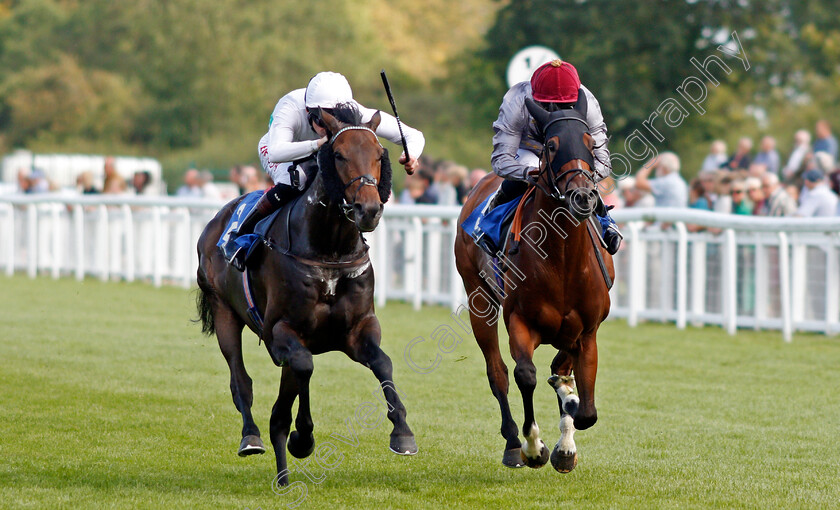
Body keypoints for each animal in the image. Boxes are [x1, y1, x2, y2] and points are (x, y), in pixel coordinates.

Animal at [198, 104, 420, 486]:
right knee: (241, 381)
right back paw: (253, 438)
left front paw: (402, 433)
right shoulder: (280, 332)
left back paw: (282, 472)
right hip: (224, 310)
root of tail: (217, 220)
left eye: (379, 155)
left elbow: (383, 363)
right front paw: (302, 436)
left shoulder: (358, 329)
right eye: (339, 155)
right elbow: (303, 367)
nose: (368, 209)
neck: (329, 251)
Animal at [456, 94, 612, 474]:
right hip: (479, 299)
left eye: (591, 144)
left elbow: (585, 409)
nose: (583, 197)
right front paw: (534, 446)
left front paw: (565, 442)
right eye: (551, 145)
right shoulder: (519, 321)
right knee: (497, 372)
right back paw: (514, 444)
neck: (563, 260)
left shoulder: (587, 330)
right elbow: (525, 375)